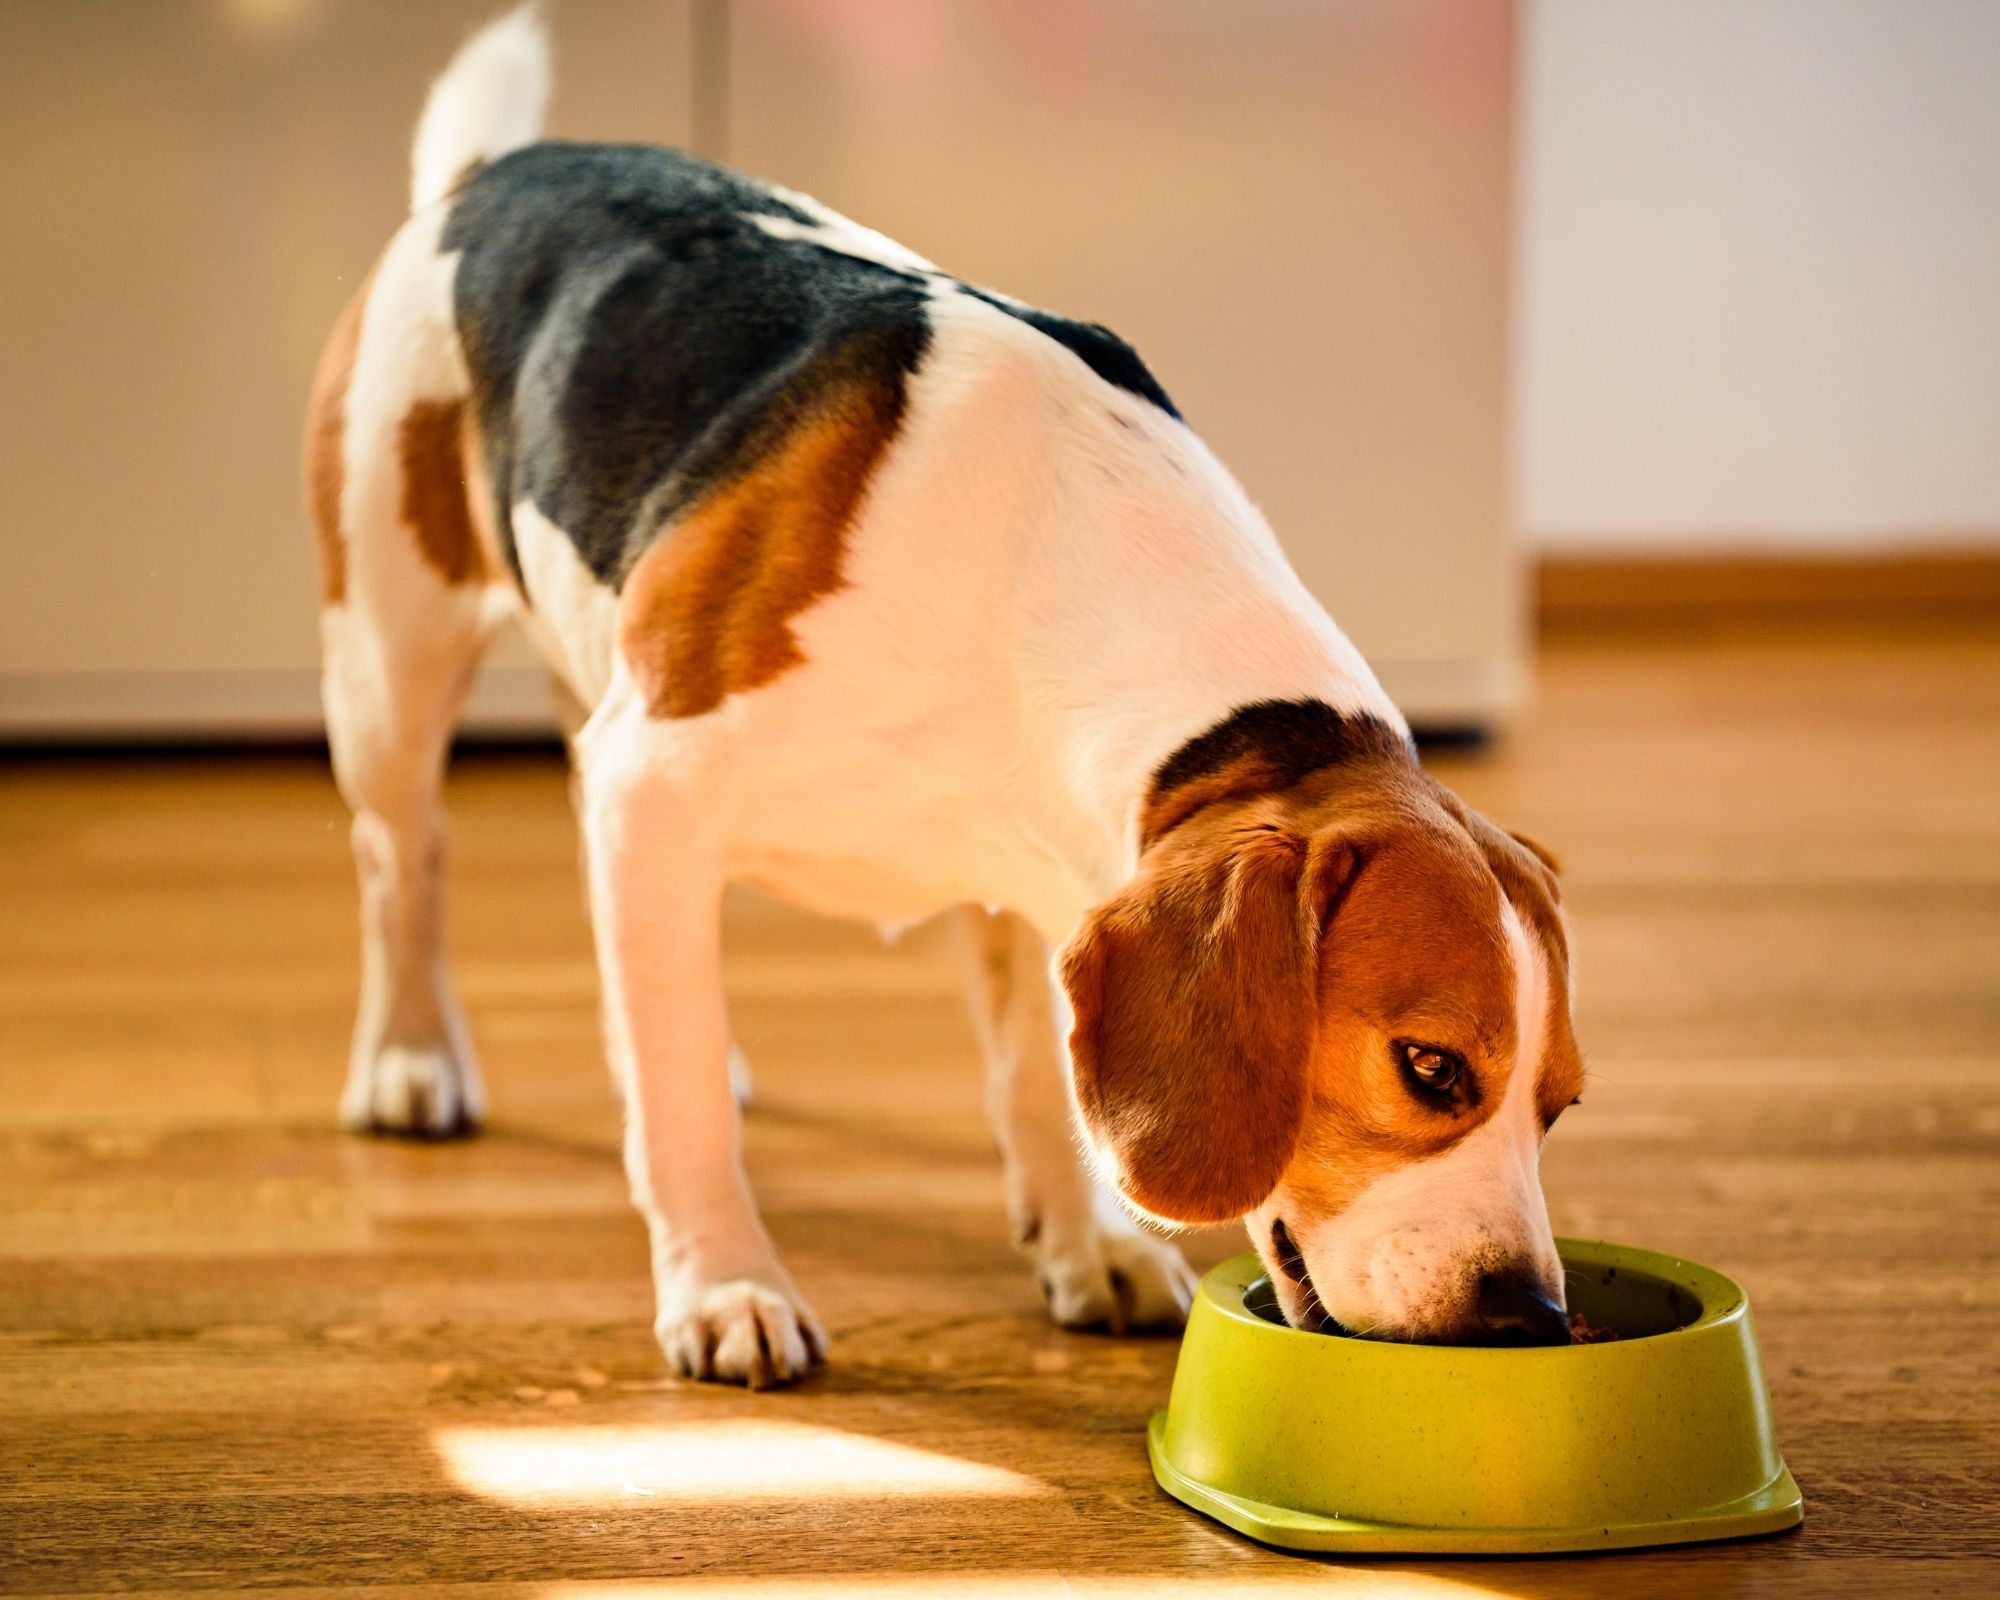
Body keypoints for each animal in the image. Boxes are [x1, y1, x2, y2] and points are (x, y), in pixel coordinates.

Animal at [312, 9, 1584, 1384]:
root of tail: (492, 172)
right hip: (389, 668)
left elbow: (1035, 1074)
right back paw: (411, 1059)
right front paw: (725, 1283)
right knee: (402, 864)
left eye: (1559, 1104)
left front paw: (1083, 1242)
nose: (1532, 1317)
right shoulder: (655, 782)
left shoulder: (1037, 879)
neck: (1049, 565)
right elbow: (685, 1110)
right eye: (1430, 1068)